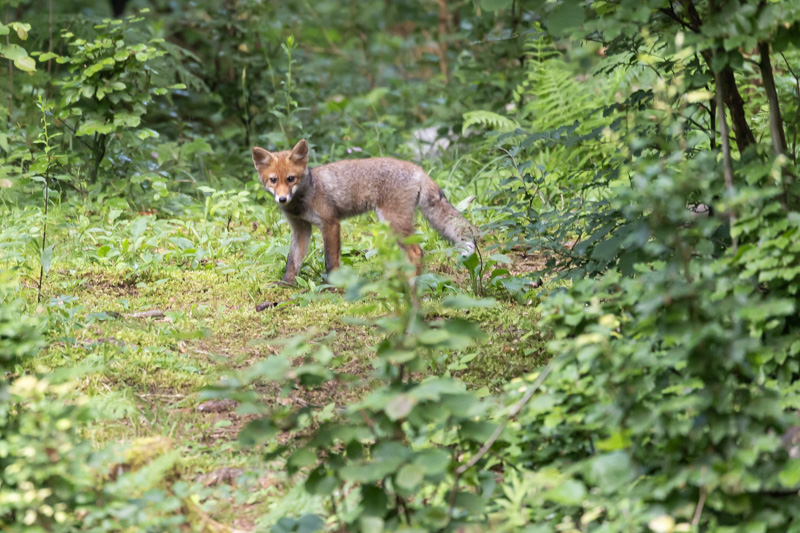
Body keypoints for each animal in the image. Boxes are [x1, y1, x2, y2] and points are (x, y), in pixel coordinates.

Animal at [250, 139, 476, 284]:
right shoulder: (301, 229)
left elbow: (331, 261)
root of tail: (418, 169)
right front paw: (286, 284)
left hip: (393, 222)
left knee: (418, 252)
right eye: (273, 180)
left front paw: (333, 285)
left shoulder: (330, 223)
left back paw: (411, 284)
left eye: (291, 179)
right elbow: (292, 261)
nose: (282, 199)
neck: (305, 195)